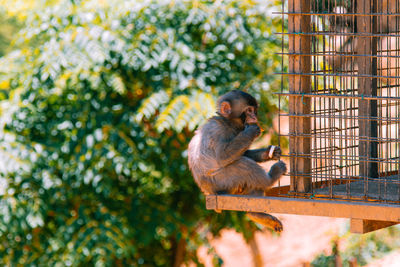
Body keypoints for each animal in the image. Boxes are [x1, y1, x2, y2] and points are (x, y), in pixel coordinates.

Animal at [188, 90, 288, 232]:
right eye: (249, 110)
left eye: (254, 110)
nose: (254, 117)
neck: (228, 122)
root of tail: (209, 192)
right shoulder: (219, 130)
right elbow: (223, 156)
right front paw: (251, 131)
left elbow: (242, 152)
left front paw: (269, 153)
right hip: (222, 181)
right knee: (242, 164)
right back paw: (271, 178)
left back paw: (256, 213)